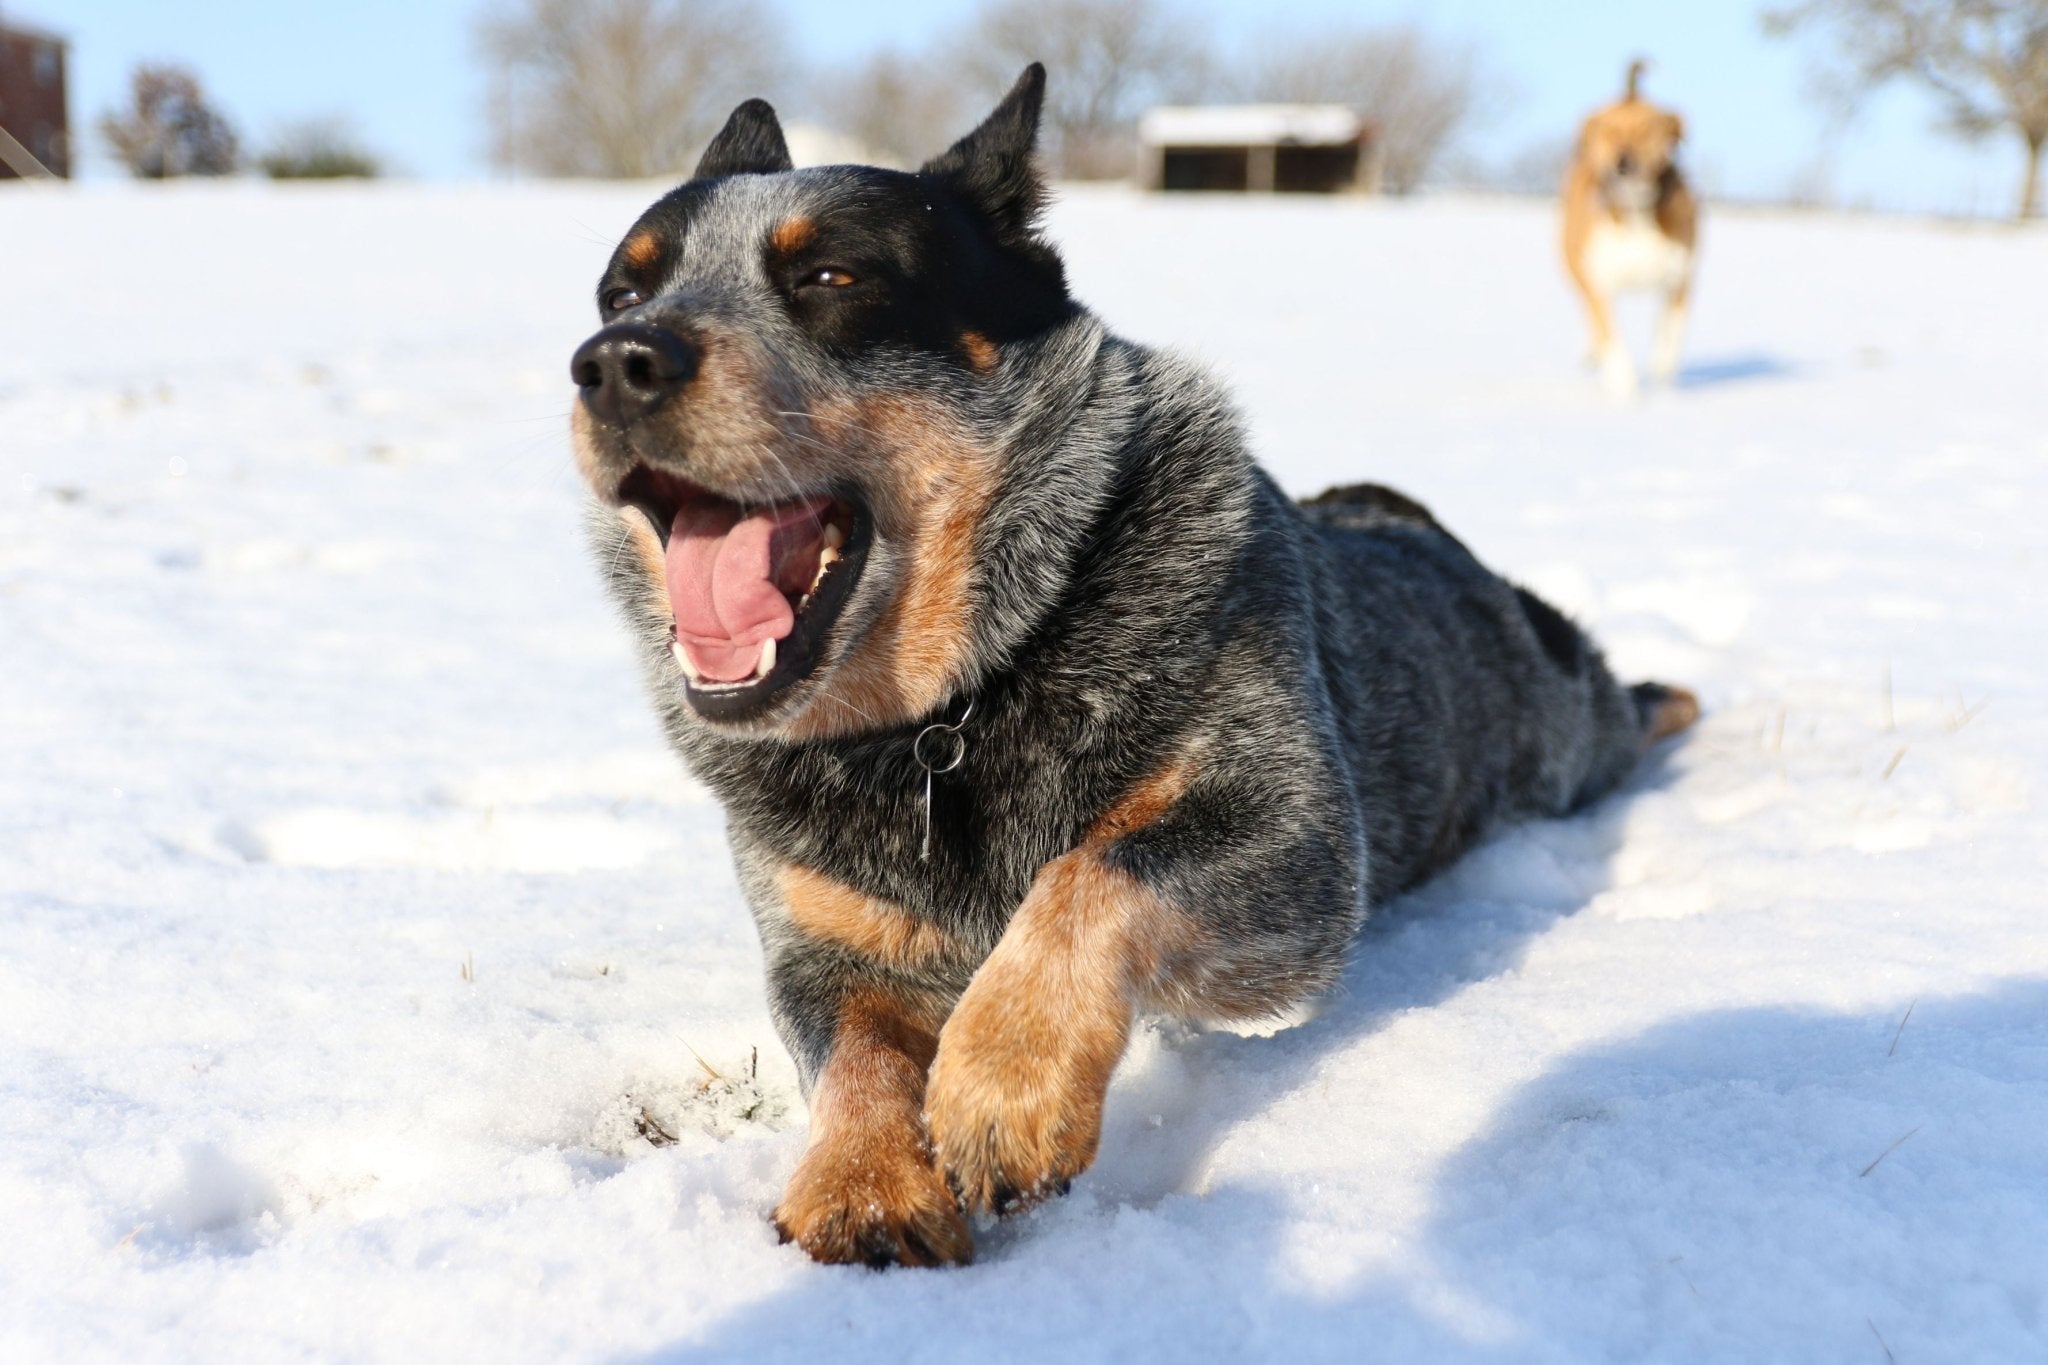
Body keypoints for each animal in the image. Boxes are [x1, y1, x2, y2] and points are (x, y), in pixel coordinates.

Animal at [1564, 63, 1695, 394]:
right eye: (1608, 130)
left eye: (1648, 130)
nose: (1623, 161)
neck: (1635, 209)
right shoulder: (1599, 280)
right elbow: (1611, 339)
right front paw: (1624, 392)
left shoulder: (1679, 279)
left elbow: (1668, 339)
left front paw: (1663, 385)